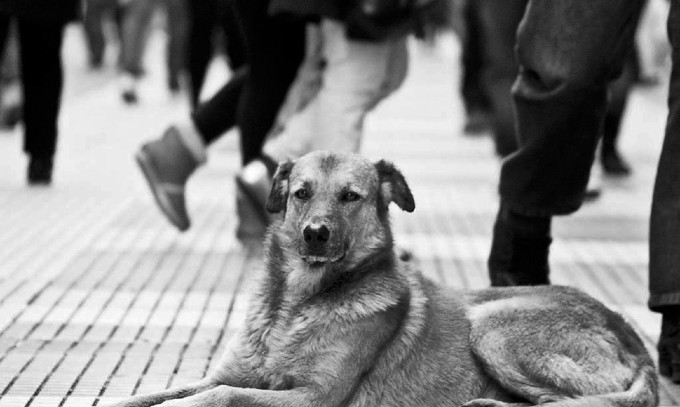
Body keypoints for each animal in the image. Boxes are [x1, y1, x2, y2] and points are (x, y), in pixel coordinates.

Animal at [113, 151, 660, 406]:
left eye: (350, 196)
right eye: (301, 192)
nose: (315, 234)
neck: (296, 305)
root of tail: (630, 332)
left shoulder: (316, 396)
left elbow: (219, 396)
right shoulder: (227, 373)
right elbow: (162, 391)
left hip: (493, 325)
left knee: (567, 402)